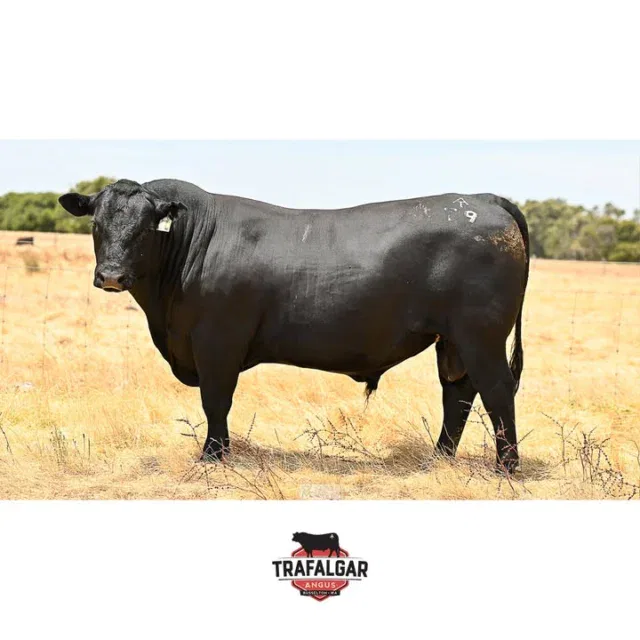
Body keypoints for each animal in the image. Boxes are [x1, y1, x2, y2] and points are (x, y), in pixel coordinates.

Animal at [59, 178, 529, 473]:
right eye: (97, 224)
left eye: (144, 229)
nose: (112, 275)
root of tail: (484, 198)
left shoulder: (216, 342)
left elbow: (216, 401)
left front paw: (213, 456)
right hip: (452, 340)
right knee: (458, 395)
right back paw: (439, 459)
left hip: (481, 335)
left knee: (496, 391)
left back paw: (506, 467)